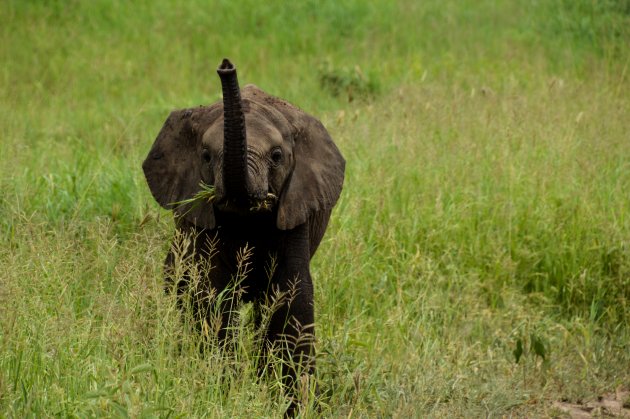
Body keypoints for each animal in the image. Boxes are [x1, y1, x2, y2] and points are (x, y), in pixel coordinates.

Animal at [143, 58, 346, 414]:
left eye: (277, 156)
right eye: (206, 156)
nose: (226, 66)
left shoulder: (296, 204)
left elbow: (292, 295)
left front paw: (293, 404)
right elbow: (210, 292)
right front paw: (223, 389)